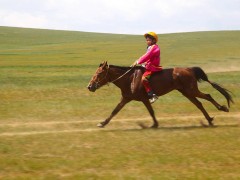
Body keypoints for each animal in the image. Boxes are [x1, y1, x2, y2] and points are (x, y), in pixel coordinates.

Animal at [87, 61, 233, 128]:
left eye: (99, 73)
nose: (90, 86)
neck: (129, 79)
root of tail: (189, 69)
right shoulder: (127, 99)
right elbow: (115, 111)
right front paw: (102, 123)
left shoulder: (141, 98)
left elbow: (150, 111)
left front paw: (155, 124)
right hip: (187, 92)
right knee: (199, 104)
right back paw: (209, 120)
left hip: (191, 91)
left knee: (207, 96)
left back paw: (222, 109)